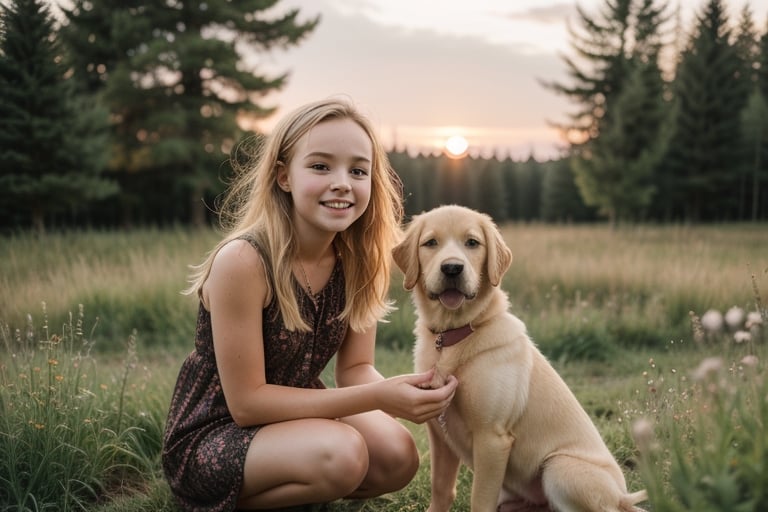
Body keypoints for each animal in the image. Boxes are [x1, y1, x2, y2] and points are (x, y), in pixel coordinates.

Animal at [392, 205, 644, 512]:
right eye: (430, 243)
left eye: (472, 243)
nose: (452, 268)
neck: (453, 336)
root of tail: (622, 497)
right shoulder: (439, 432)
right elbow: (441, 489)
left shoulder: (492, 438)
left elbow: (480, 500)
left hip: (558, 468)